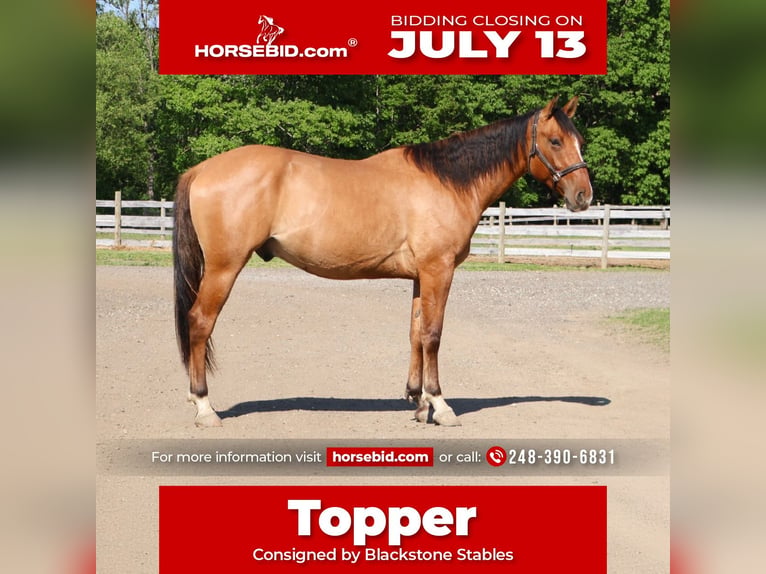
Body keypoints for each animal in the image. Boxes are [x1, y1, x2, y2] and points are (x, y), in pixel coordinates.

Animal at [173, 96, 592, 428]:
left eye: (580, 141)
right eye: (555, 141)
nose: (583, 195)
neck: (448, 181)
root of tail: (201, 169)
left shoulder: (422, 276)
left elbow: (416, 333)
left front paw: (419, 401)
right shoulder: (439, 270)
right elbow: (434, 335)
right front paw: (440, 405)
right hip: (224, 268)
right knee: (200, 323)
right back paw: (204, 406)